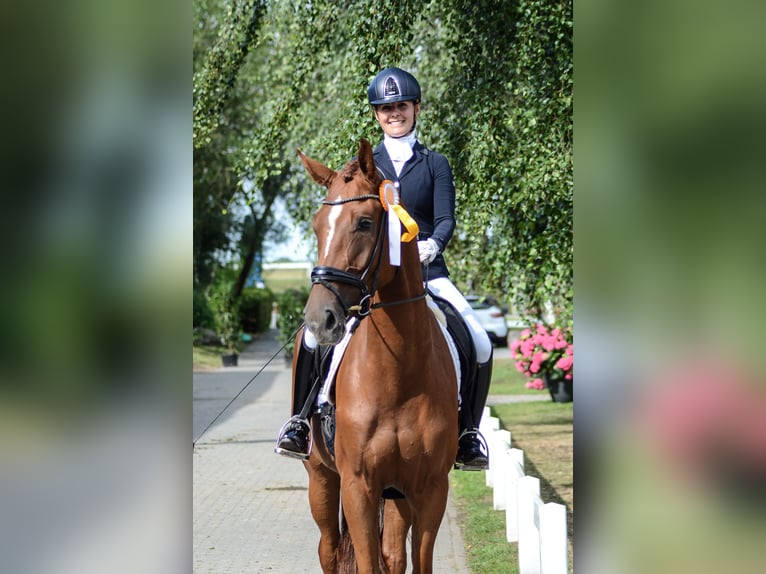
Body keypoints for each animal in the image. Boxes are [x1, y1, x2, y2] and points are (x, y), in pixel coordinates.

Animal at [296, 140, 460, 574]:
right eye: (317, 226)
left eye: (365, 224)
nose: (319, 320)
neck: (399, 373)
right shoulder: (358, 487)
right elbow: (366, 561)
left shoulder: (430, 488)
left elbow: (417, 561)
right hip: (321, 476)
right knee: (328, 548)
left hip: (396, 493)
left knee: (393, 555)